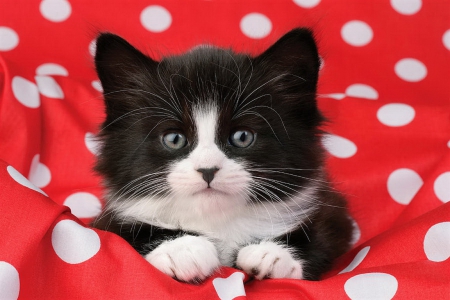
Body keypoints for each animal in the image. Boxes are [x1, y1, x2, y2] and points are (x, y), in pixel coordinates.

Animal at [91, 29, 354, 282]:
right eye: (174, 139)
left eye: (242, 137)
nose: (208, 169)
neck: (218, 223)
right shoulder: (106, 222)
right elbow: (123, 233)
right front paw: (181, 250)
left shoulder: (334, 212)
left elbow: (325, 234)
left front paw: (273, 254)